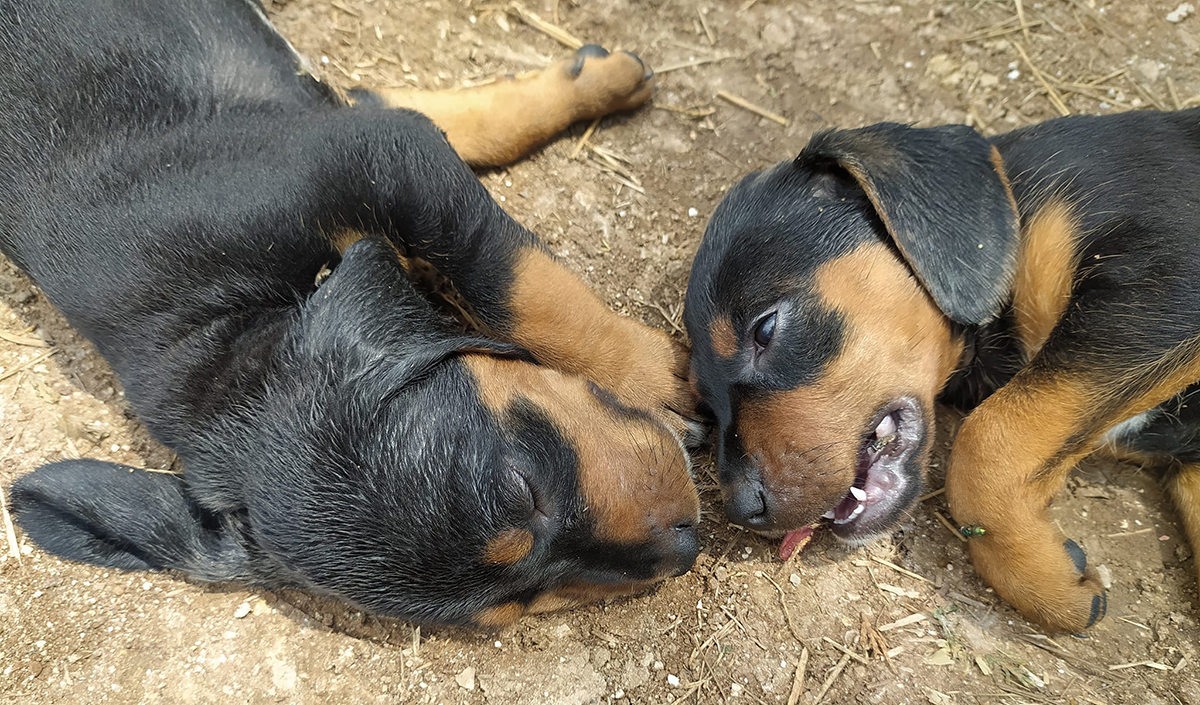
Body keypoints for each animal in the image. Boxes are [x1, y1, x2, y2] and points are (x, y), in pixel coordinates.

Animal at [0, 0, 700, 628]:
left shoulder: (366, 157)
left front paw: (644, 376)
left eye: (523, 486)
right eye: (521, 603)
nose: (687, 542)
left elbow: (512, 279)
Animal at [686, 111, 1200, 633]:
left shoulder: (1163, 285)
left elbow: (989, 435)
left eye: (765, 328)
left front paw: (1041, 581)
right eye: (705, 400)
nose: (742, 510)